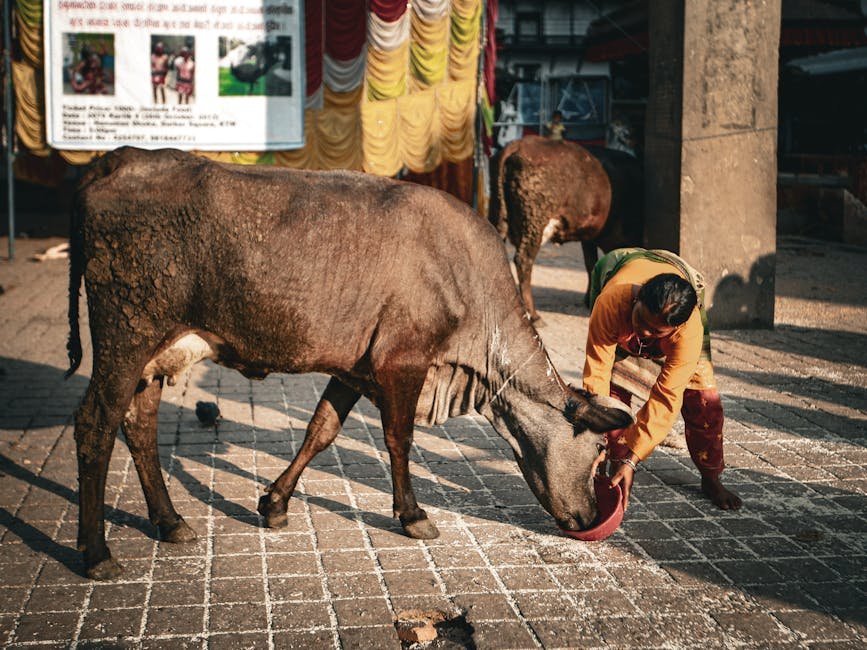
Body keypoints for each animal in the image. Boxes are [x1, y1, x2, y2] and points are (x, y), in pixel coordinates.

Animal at [67, 147, 632, 580]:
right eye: (599, 449)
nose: (589, 516)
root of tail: (121, 157)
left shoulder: (355, 367)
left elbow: (321, 430)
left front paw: (275, 503)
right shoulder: (402, 361)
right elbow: (399, 440)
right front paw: (412, 514)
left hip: (153, 352)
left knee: (139, 427)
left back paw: (169, 521)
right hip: (126, 333)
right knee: (95, 424)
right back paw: (97, 552)